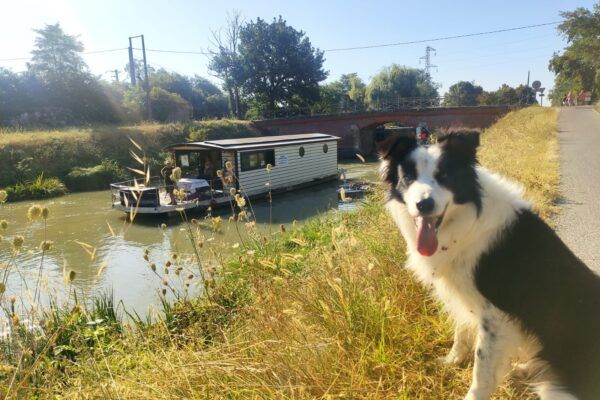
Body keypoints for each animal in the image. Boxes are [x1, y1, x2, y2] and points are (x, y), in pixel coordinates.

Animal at [380, 130, 600, 398]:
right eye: (408, 178)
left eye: (444, 176)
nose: (424, 205)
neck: (465, 220)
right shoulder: (460, 293)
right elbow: (461, 332)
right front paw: (452, 360)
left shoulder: (495, 314)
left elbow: (482, 366)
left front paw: (472, 394)